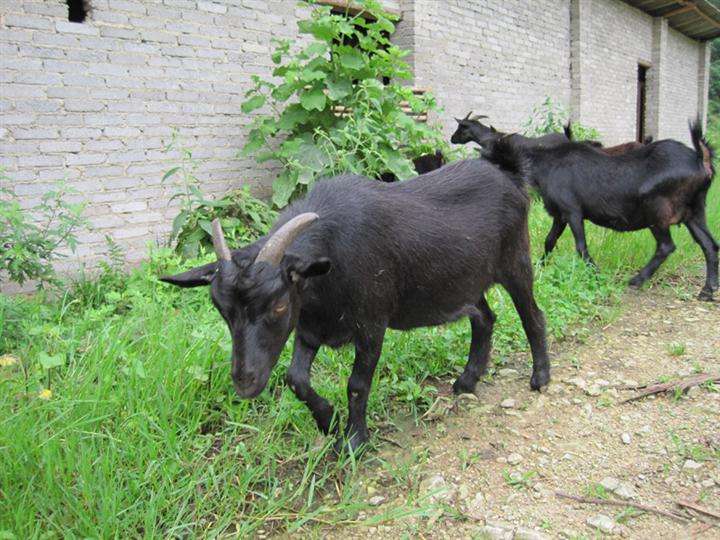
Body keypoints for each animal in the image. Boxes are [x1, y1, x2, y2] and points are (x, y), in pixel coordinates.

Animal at [160, 159, 548, 452]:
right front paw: (328, 420)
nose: (244, 383)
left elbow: (357, 384)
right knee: (484, 317)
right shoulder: (310, 327)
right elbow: (295, 379)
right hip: (463, 282)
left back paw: (540, 377)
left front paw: (354, 441)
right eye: (221, 310)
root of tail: (510, 176)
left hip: (516, 262)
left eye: (279, 306)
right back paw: (467, 381)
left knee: (533, 316)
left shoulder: (371, 324)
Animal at [480, 120, 716, 302]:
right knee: (710, 245)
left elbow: (580, 246)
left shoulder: (573, 211)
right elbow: (550, 240)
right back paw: (707, 291)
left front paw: (594, 273)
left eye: (490, 155)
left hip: (657, 211)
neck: (545, 165)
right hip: (694, 212)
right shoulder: (560, 214)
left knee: (666, 246)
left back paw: (636, 280)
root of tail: (700, 160)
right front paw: (540, 266)